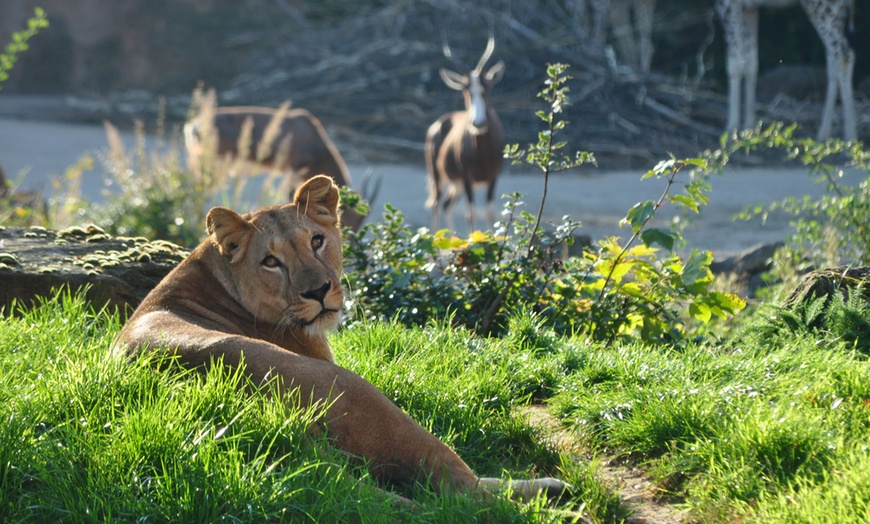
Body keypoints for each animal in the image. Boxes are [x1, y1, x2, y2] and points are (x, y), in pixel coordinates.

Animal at [426, 35, 508, 232]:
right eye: (466, 90)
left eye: (486, 88)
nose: (478, 123)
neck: (483, 151)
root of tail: (437, 125)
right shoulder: (467, 178)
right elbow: (471, 214)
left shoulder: (493, 177)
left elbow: (490, 214)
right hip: (440, 178)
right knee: (437, 204)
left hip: (457, 186)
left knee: (447, 204)